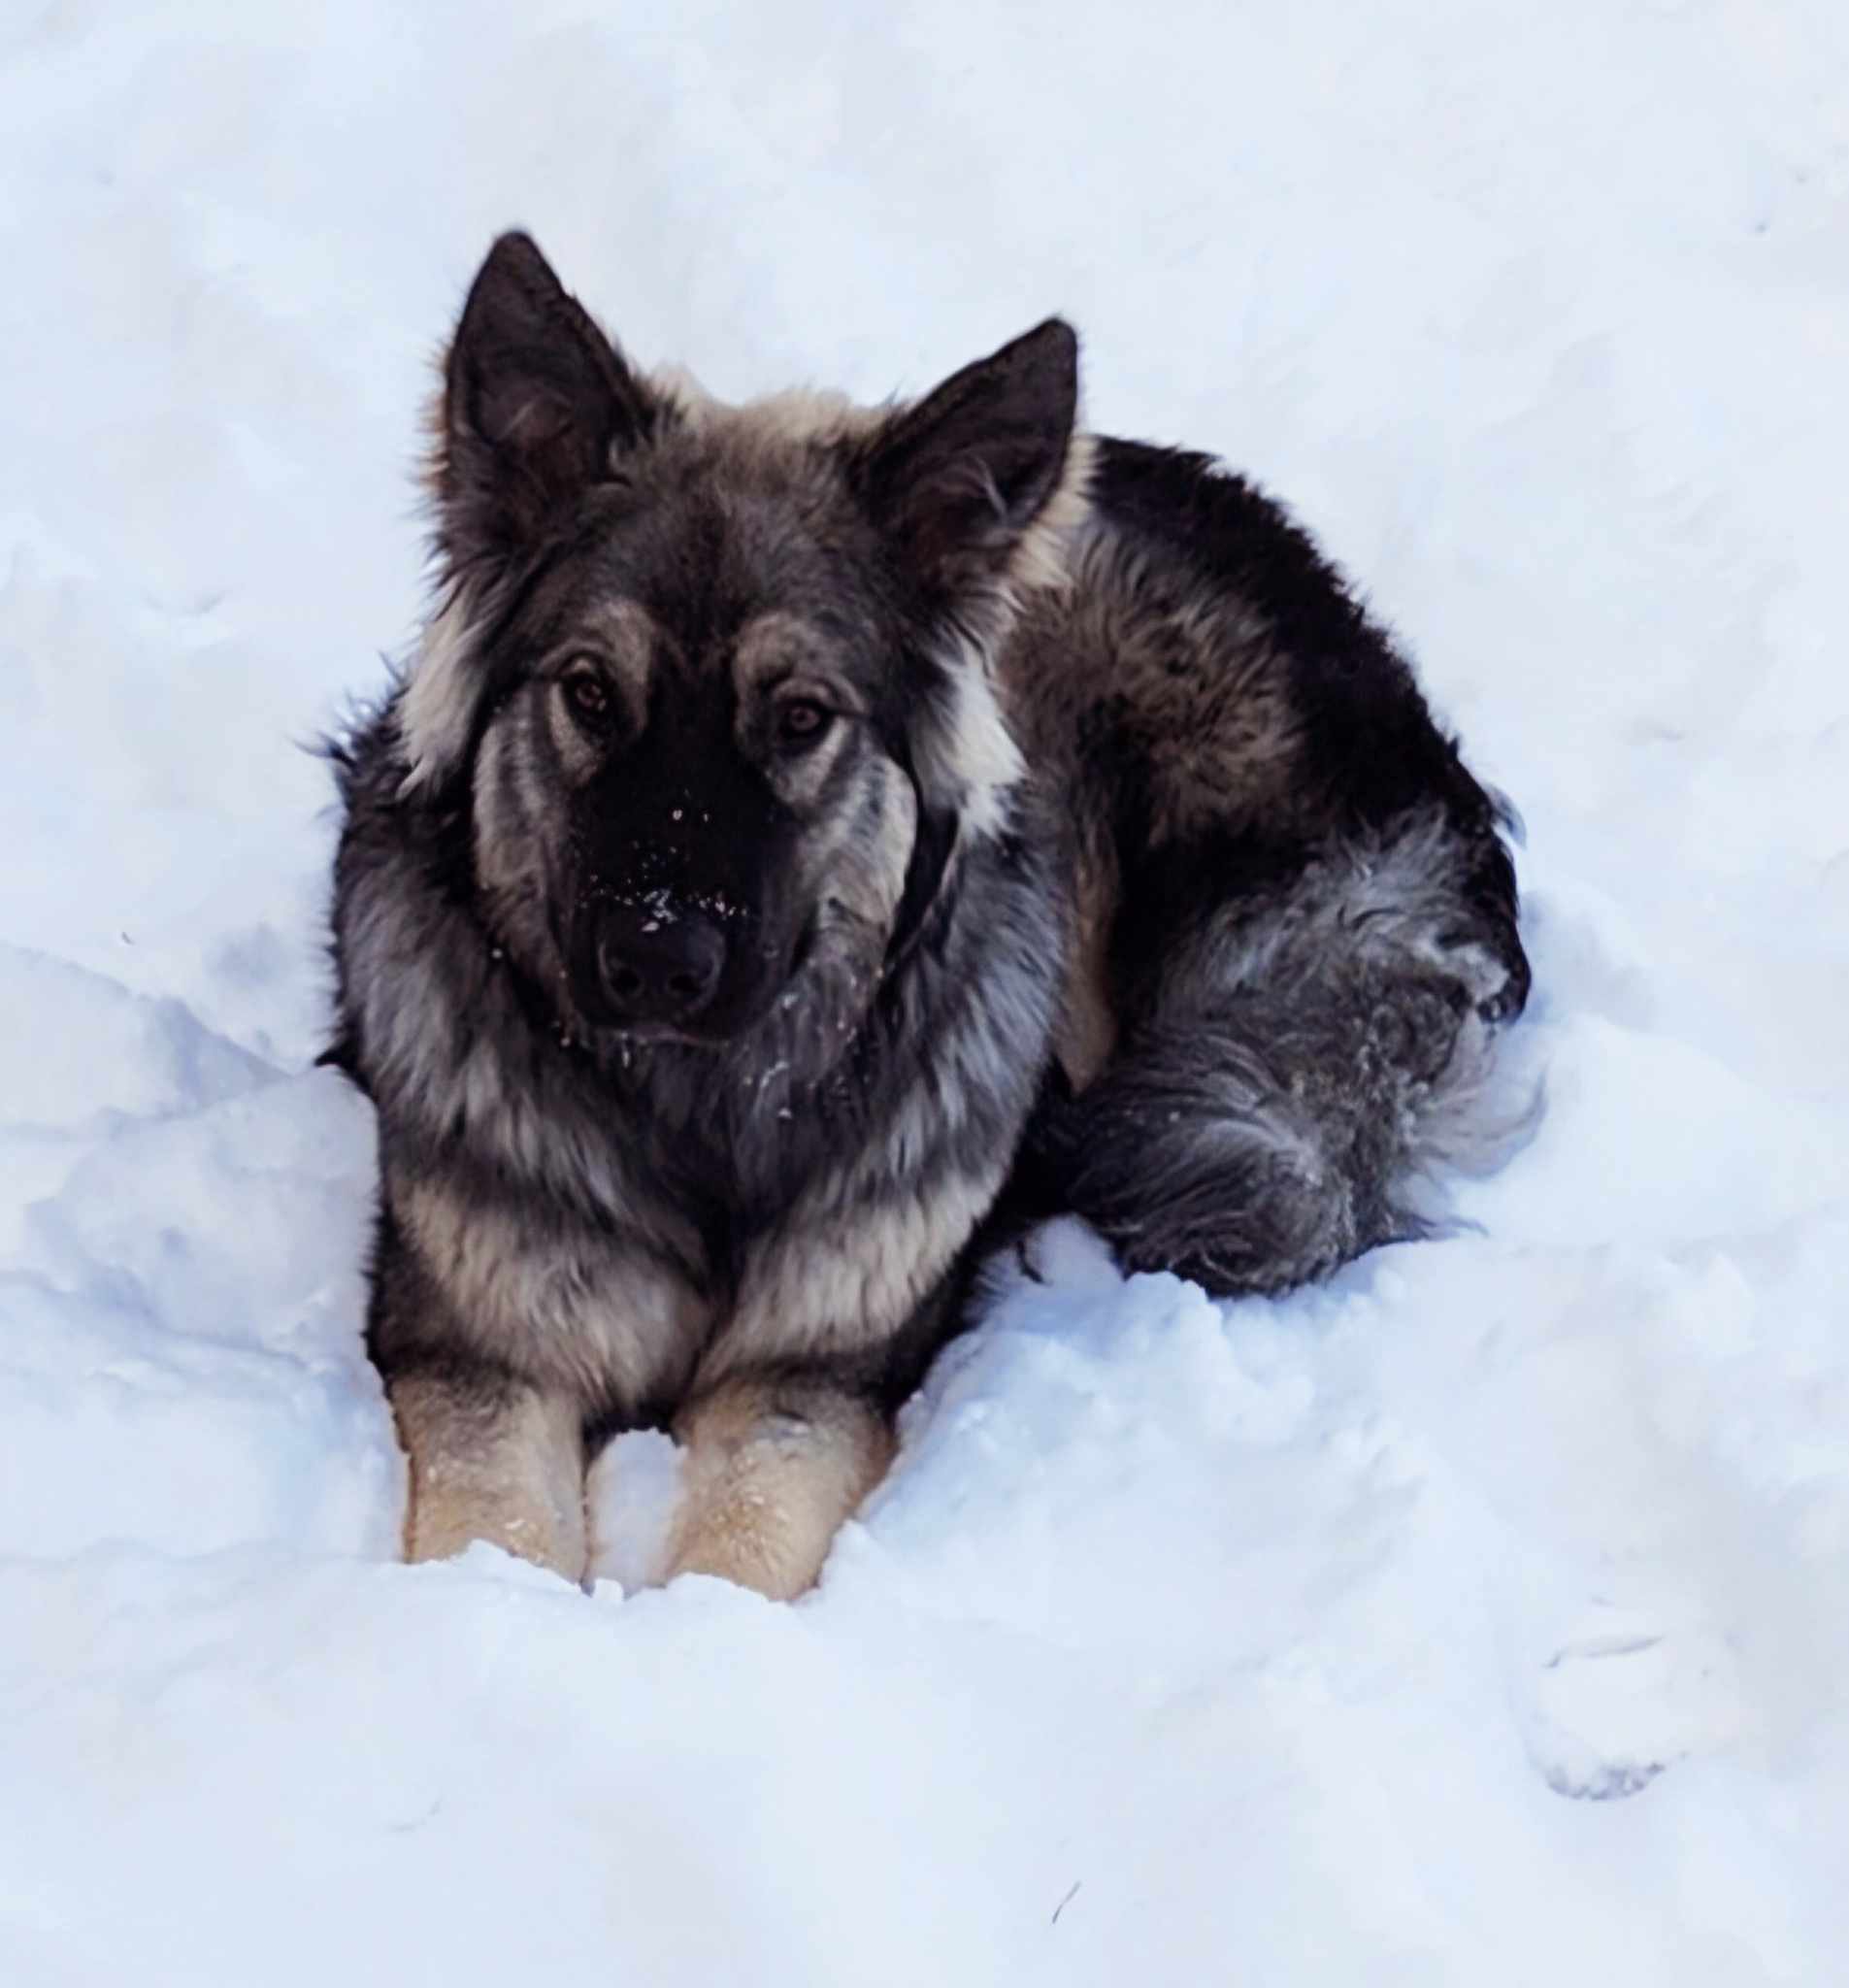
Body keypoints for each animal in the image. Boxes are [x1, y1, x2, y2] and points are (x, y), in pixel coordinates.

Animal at [327, 228, 1527, 1598]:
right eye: (588, 692)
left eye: (801, 717)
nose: (656, 959)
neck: (698, 1118)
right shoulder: (481, 1348)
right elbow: (496, 1533)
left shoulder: (809, 1371)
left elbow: (741, 1547)